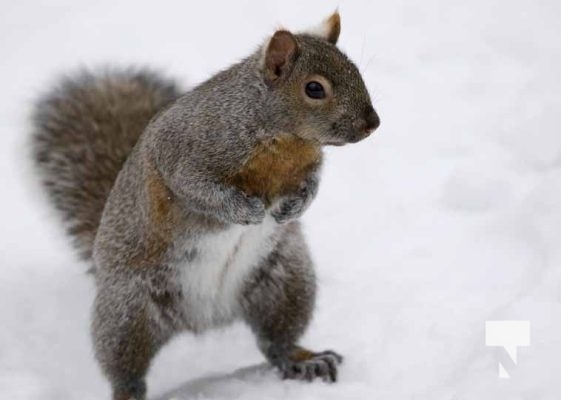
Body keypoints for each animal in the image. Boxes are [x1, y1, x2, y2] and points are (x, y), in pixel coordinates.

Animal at [31, 11, 380, 400]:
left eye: (355, 69)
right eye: (315, 88)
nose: (373, 123)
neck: (287, 140)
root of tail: (206, 318)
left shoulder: (310, 165)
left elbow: (312, 185)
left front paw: (293, 207)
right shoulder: (184, 154)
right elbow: (197, 189)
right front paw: (246, 210)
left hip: (286, 281)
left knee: (276, 341)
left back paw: (303, 360)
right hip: (126, 315)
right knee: (126, 370)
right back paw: (129, 390)